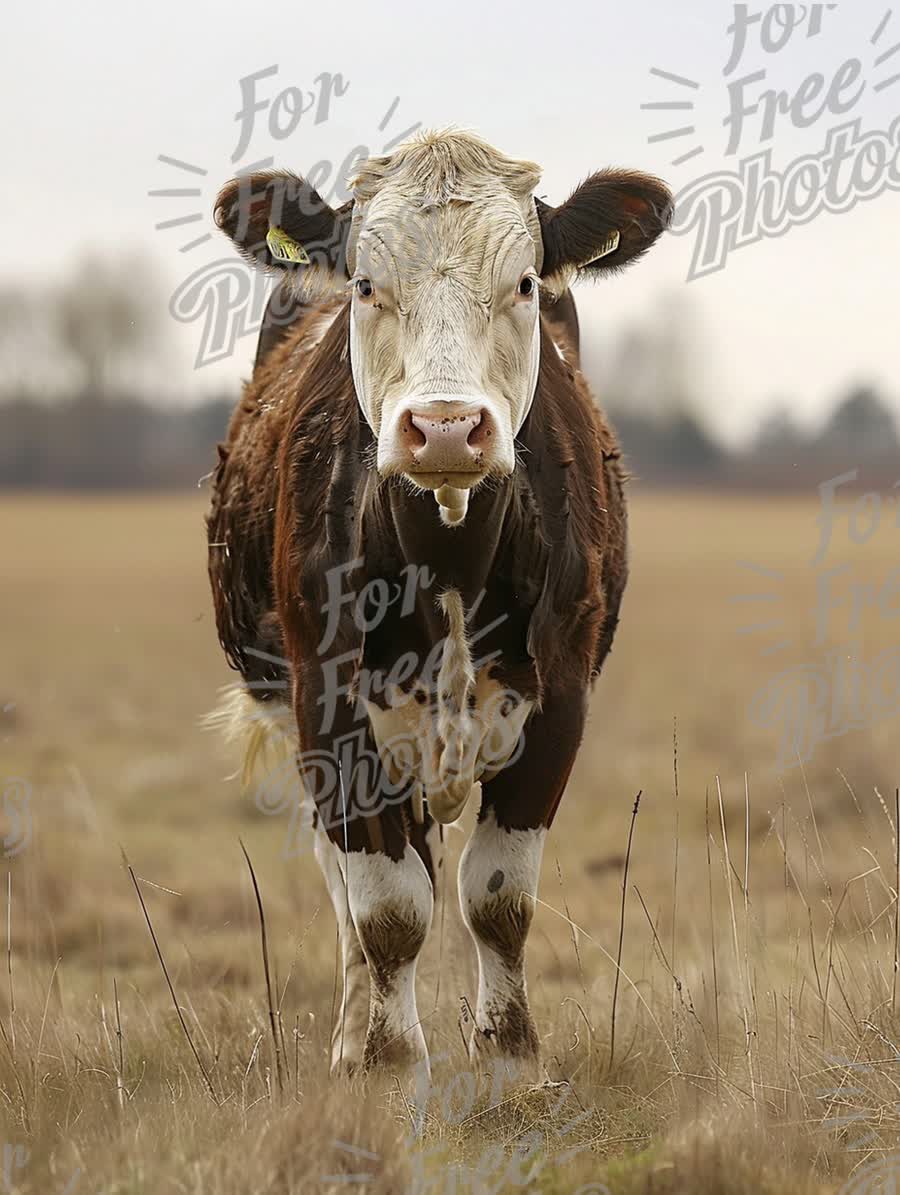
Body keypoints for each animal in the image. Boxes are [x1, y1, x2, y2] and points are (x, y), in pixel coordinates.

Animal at [206, 130, 669, 1085]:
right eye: (364, 284)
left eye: (524, 282)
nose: (448, 428)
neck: (449, 556)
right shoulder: (326, 702)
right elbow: (386, 909)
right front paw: (386, 1062)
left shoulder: (560, 700)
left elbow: (498, 898)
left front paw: (511, 1059)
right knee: (354, 892)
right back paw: (354, 1035)